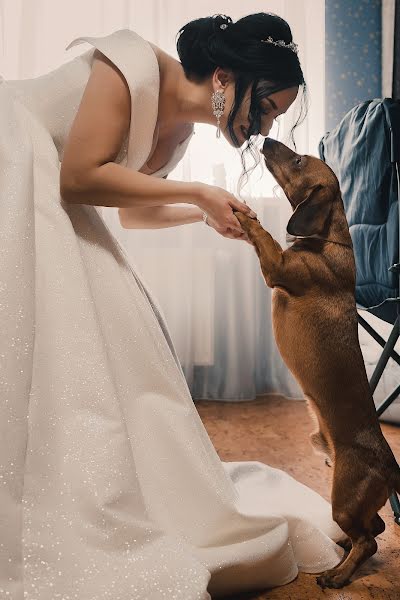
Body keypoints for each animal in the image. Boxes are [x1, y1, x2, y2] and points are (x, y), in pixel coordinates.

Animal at [234, 137, 400, 592]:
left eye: (295, 161)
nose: (265, 139)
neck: (327, 241)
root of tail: (390, 466)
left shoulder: (277, 267)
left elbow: (263, 234)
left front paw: (244, 211)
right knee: (374, 529)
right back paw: (340, 548)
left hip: (342, 497)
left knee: (370, 540)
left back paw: (338, 574)